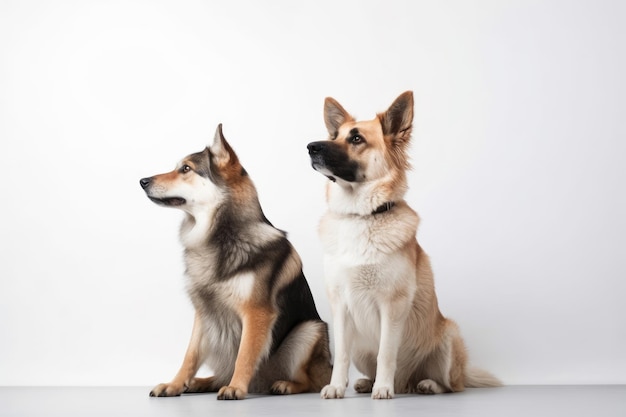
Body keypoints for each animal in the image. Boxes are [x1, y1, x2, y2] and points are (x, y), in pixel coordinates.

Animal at [138, 124, 332, 400]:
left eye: (185, 168)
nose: (142, 181)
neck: (221, 236)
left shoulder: (256, 312)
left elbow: (245, 354)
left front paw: (237, 387)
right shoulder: (204, 313)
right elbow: (189, 355)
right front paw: (175, 385)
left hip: (308, 330)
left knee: (311, 381)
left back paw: (284, 385)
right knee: (220, 372)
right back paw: (201, 382)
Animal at [304, 92, 500, 400]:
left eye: (356, 138)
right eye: (334, 135)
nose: (311, 147)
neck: (362, 216)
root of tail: (406, 382)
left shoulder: (392, 306)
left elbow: (386, 353)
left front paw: (383, 389)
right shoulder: (340, 307)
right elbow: (342, 355)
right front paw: (337, 387)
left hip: (449, 337)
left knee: (450, 385)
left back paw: (424, 385)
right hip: (361, 347)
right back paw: (367, 382)